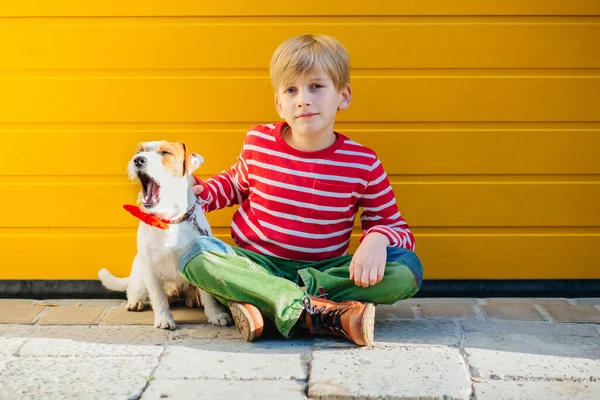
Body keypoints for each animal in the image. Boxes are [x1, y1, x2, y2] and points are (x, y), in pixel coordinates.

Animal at [98, 141, 232, 332]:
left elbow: (208, 294)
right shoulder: (150, 268)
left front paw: (216, 314)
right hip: (139, 276)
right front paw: (163, 319)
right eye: (139, 151)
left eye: (165, 152)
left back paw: (191, 299)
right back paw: (135, 302)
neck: (170, 219)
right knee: (135, 290)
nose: (138, 160)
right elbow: (158, 297)